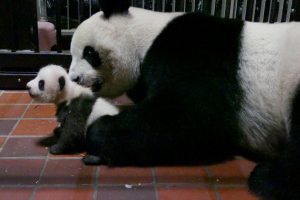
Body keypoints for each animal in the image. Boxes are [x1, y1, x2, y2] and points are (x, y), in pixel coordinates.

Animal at [68, 0, 300, 199]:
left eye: (89, 53)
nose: (74, 79)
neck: (146, 36)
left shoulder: (193, 52)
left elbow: (194, 118)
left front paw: (98, 134)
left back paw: (266, 179)